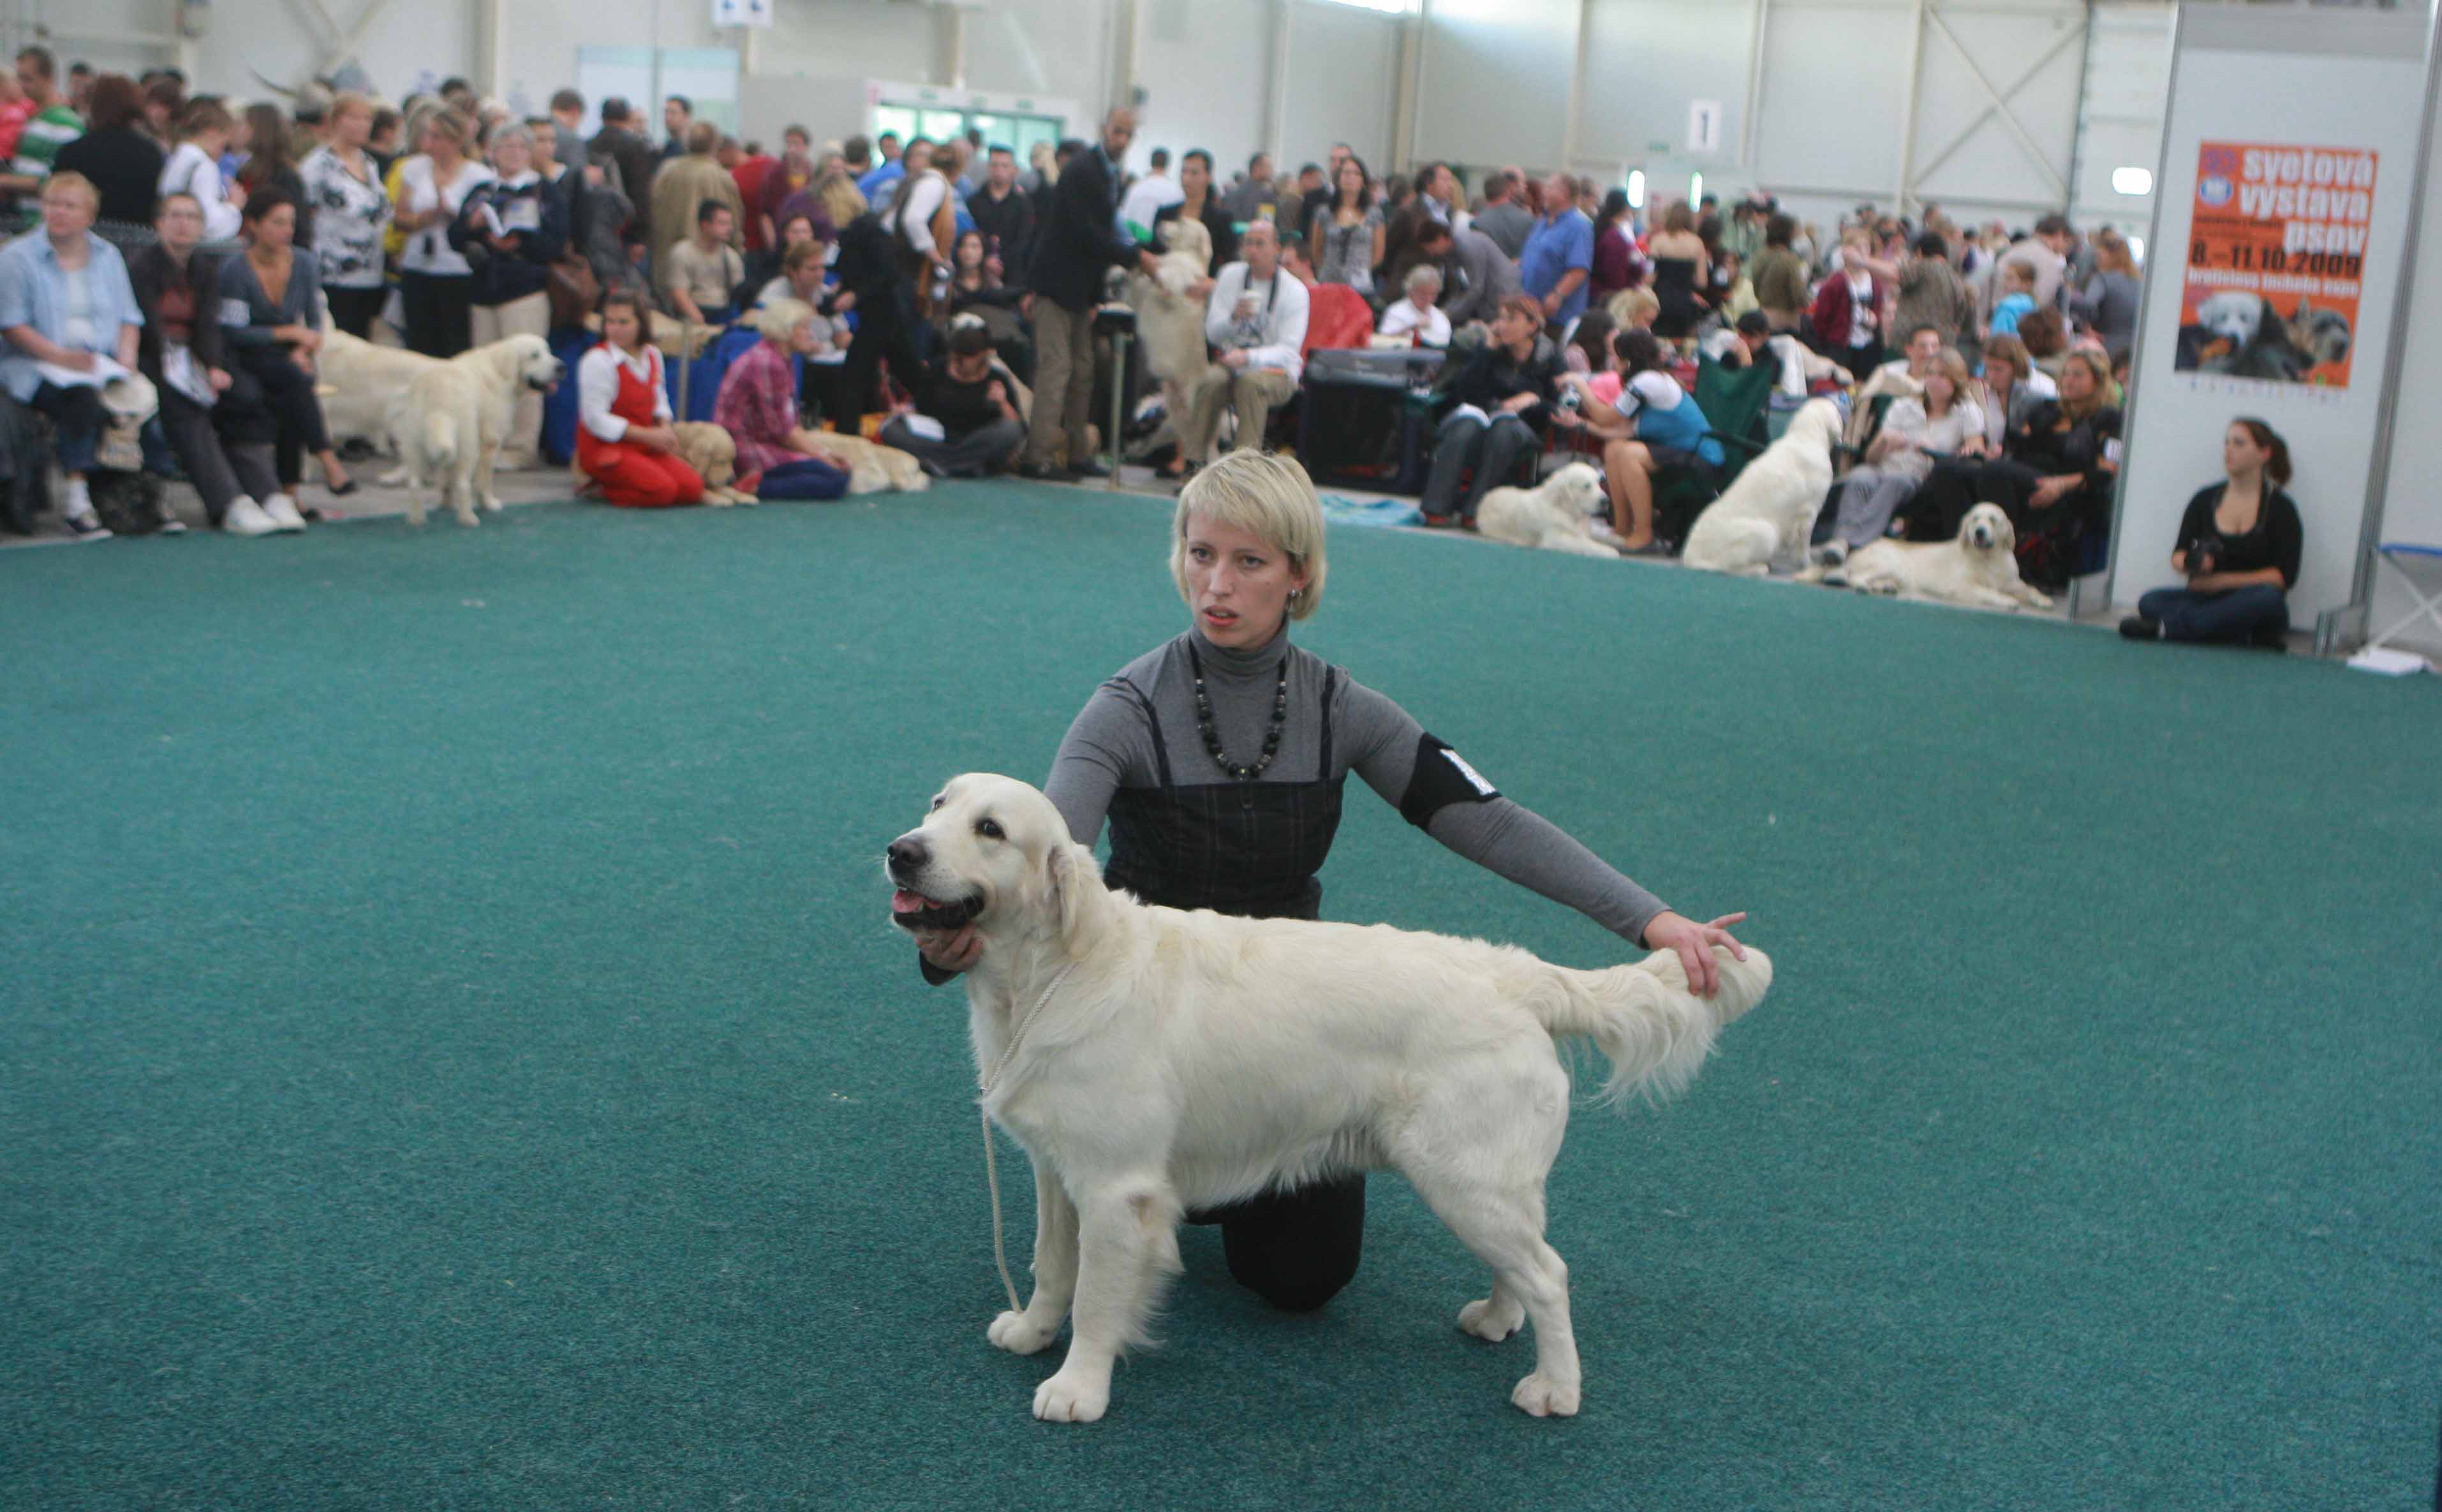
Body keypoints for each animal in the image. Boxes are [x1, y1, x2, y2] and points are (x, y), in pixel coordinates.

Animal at [889, 776, 1768, 1426]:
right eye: (937, 805)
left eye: (992, 830)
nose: (901, 852)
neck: (1052, 972)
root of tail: (1515, 974)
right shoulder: (1057, 1171)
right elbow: (1051, 1265)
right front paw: (1033, 1333)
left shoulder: (1117, 1188)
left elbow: (1101, 1296)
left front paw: (1079, 1389)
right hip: (1485, 1180)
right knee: (1526, 1259)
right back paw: (1496, 1320)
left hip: (1461, 1175)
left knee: (1551, 1274)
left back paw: (1555, 1389)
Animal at [1465, 461, 1621, 561]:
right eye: (1587, 486)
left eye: (1599, 484)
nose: (1606, 501)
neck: (1564, 510)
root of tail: (1486, 497)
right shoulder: (1555, 539)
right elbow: (1584, 544)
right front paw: (1609, 551)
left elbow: (1596, 537)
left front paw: (1617, 540)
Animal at [1689, 396, 1836, 579]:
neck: (1806, 436)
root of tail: (1689, 557)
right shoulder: (1808, 511)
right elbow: (1803, 543)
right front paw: (1806, 564)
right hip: (1765, 532)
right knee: (1724, 567)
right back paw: (1759, 568)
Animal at [1807, 503, 2051, 608]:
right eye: (1975, 519)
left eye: (1992, 520)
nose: (1979, 532)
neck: (1990, 558)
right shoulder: (1962, 586)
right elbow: (1988, 591)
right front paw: (2006, 600)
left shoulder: (2012, 582)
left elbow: (2029, 588)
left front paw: (2043, 599)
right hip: (1890, 564)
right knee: (1855, 577)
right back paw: (1866, 587)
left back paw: (1886, 587)